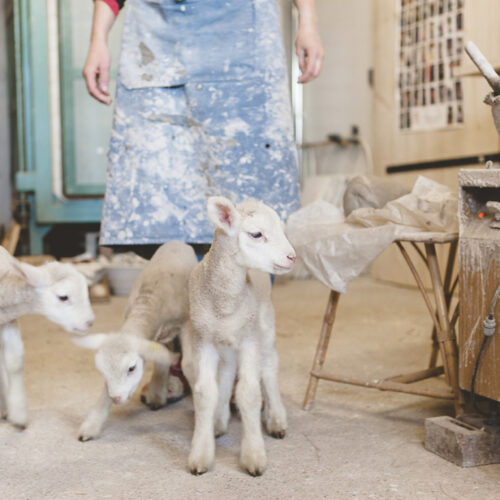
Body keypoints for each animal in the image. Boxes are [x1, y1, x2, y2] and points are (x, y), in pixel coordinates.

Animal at [73, 242, 197, 442]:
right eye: (102, 370)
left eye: (131, 368)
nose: (116, 399)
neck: (148, 305)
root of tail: (177, 242)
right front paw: (91, 426)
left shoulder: (186, 325)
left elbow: (188, 364)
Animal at [182, 195, 294, 476]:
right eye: (256, 234)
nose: (292, 257)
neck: (225, 301)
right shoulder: (204, 339)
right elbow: (204, 392)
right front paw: (201, 453)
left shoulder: (249, 338)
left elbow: (249, 393)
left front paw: (254, 456)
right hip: (227, 340)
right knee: (227, 371)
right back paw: (219, 420)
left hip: (264, 323)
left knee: (269, 367)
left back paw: (276, 419)